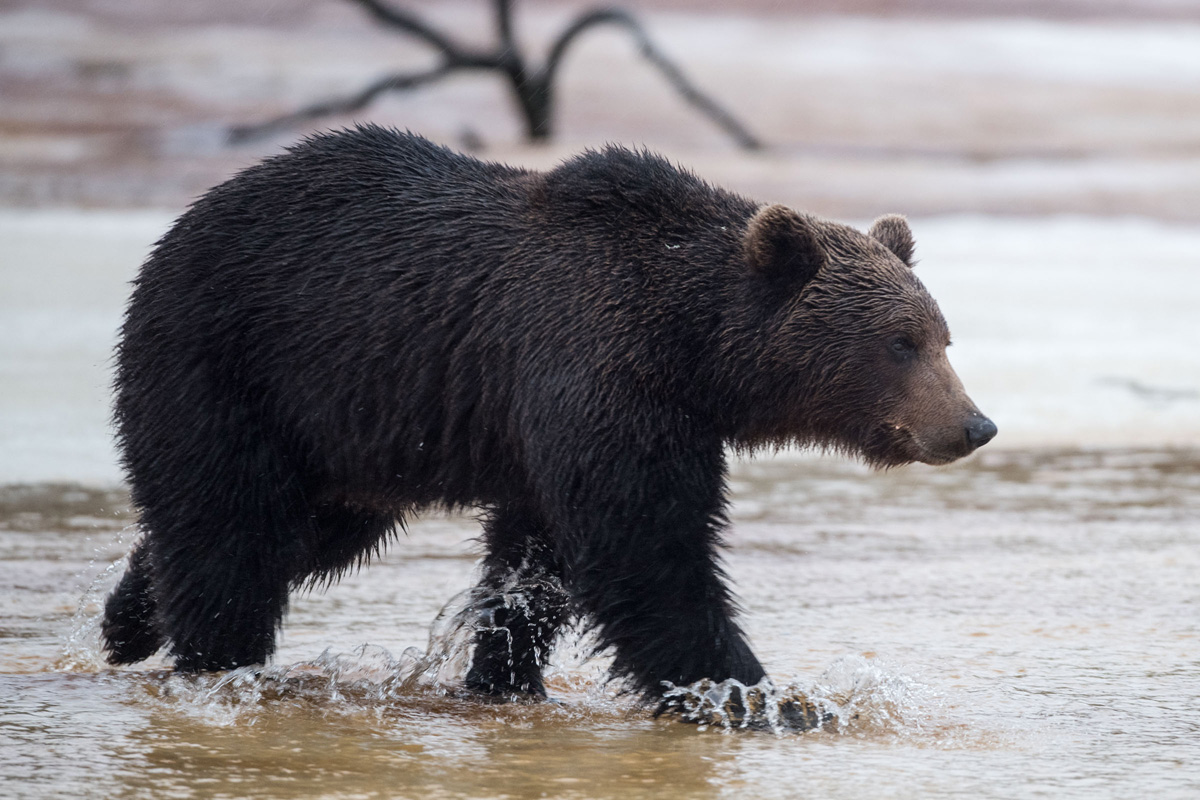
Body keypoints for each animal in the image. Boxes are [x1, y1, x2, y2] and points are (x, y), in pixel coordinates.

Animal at [100, 125, 993, 714]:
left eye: (942, 336)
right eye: (900, 342)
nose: (974, 424)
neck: (693, 348)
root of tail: (186, 220)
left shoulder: (569, 422)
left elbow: (539, 561)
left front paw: (505, 678)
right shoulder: (595, 372)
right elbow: (648, 549)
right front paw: (761, 695)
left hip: (342, 427)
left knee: (295, 531)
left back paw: (129, 621)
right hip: (228, 358)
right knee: (231, 525)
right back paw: (217, 662)